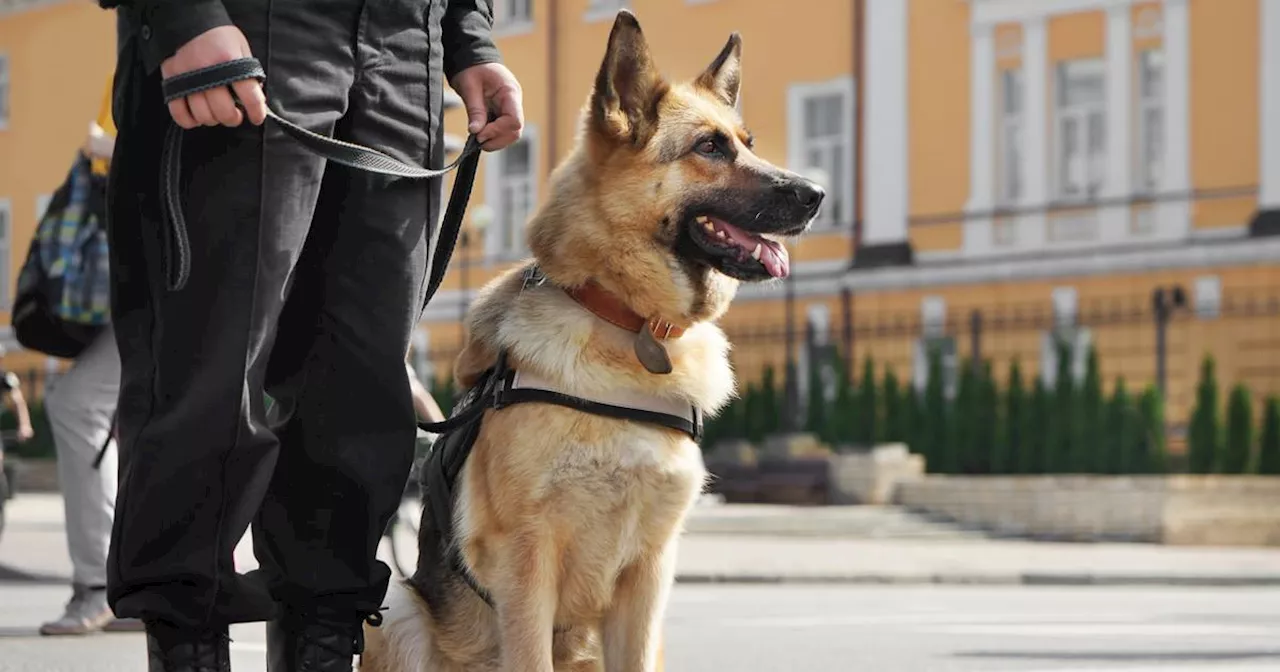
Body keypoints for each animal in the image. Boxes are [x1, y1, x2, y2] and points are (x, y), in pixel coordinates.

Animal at [358, 10, 819, 670]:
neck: (628, 324)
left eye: (746, 144)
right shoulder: (528, 566)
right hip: (397, 604)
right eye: (710, 148)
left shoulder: (649, 578)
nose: (818, 195)